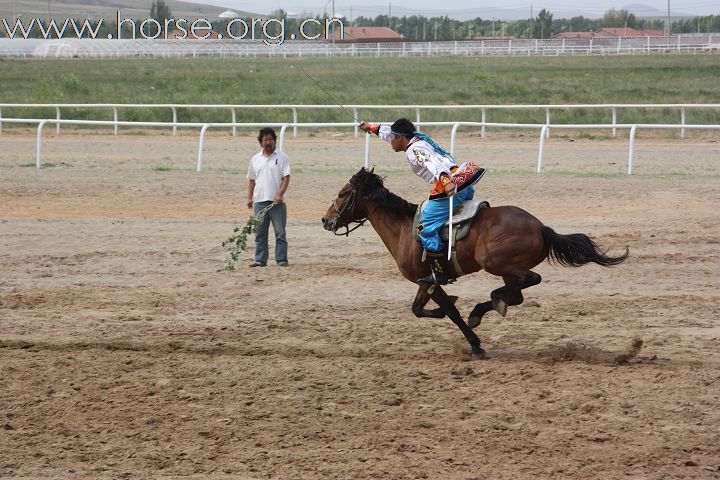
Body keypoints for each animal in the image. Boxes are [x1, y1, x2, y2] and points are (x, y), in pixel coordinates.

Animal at [322, 167, 632, 358]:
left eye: (342, 193)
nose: (326, 220)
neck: (404, 229)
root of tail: (540, 227)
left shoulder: (428, 281)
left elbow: (438, 311)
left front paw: (474, 344)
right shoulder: (428, 283)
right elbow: (429, 310)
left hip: (495, 262)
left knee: (529, 280)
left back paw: (489, 303)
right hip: (506, 270)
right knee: (517, 294)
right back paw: (490, 305)